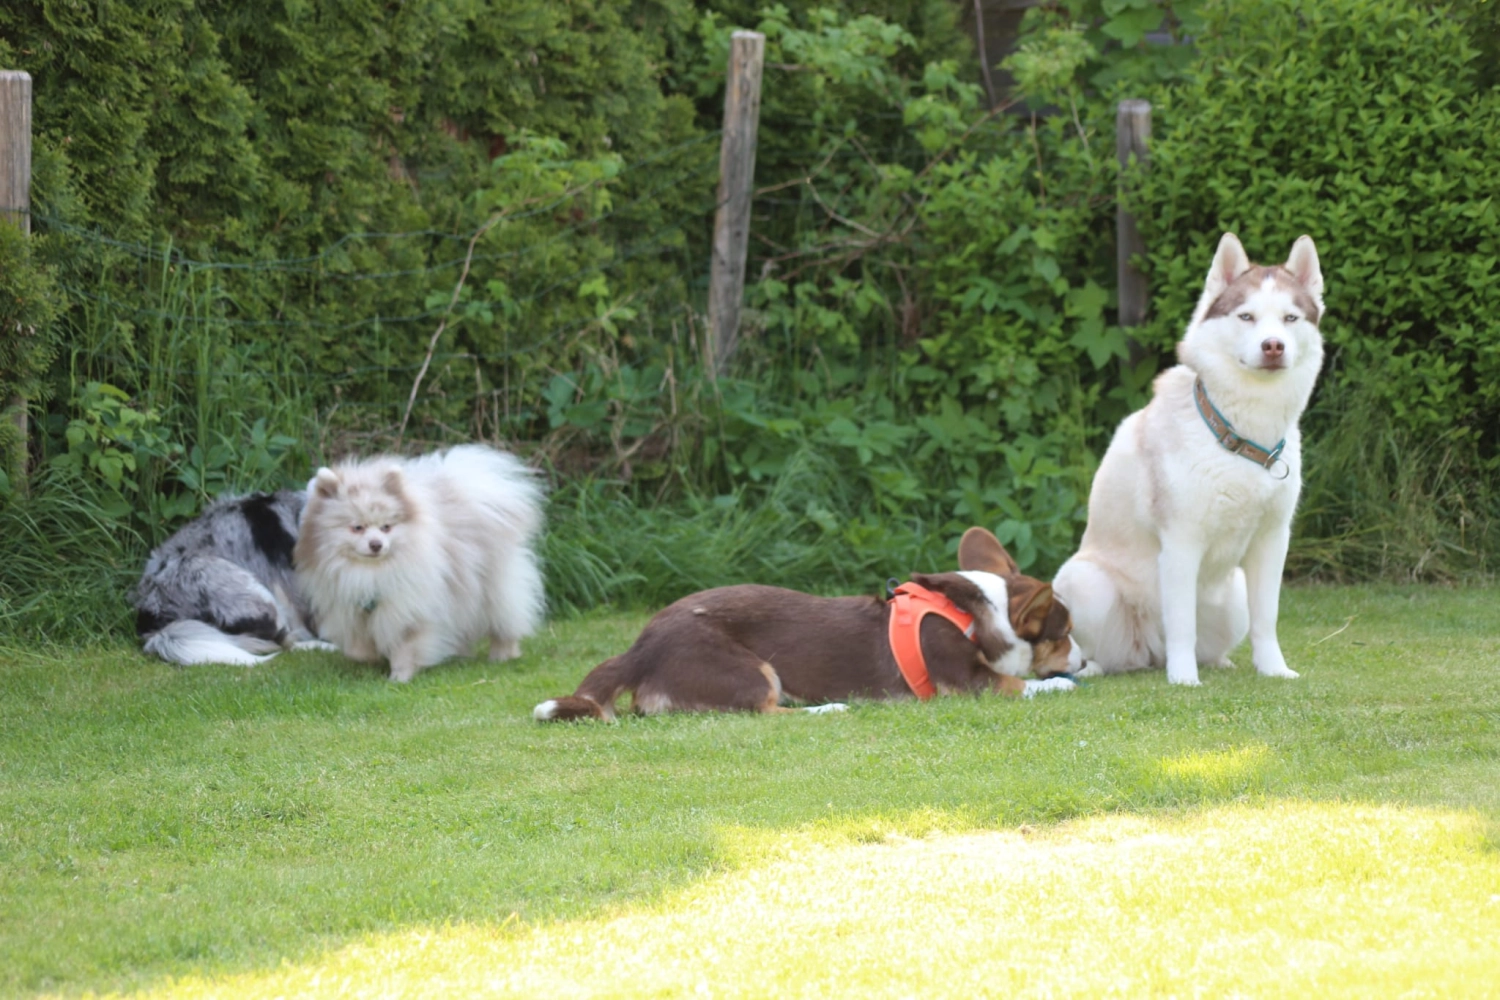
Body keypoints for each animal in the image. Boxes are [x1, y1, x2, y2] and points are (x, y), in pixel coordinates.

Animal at [534, 527, 1086, 722]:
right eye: (1063, 634)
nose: (1082, 661)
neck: (974, 612)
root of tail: (640, 647)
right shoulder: (971, 682)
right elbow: (1024, 683)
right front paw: (1063, 682)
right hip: (754, 673)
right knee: (767, 713)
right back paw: (829, 707)